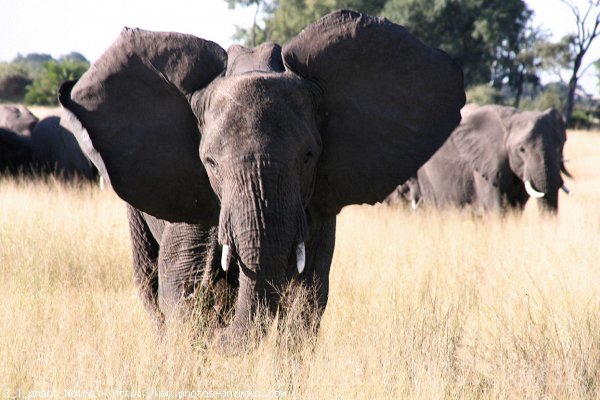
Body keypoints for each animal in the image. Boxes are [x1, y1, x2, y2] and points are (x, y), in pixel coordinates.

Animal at [58, 10, 466, 338]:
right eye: (210, 163)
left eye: (308, 156)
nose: (221, 337)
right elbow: (180, 286)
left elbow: (308, 299)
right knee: (149, 282)